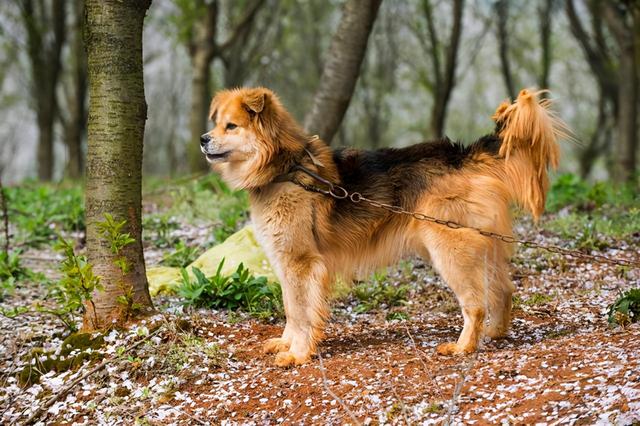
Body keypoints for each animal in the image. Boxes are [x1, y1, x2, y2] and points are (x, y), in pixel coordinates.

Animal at [200, 86, 564, 366]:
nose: (203, 139)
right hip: (479, 247)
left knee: (475, 304)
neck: (285, 169)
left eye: (231, 126)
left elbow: (303, 313)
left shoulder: (301, 264)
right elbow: (292, 309)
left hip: (450, 252)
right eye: (217, 124)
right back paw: (494, 333)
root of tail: (463, 156)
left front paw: (298, 353)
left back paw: (464, 346)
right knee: (503, 290)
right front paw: (287, 343)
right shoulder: (285, 263)